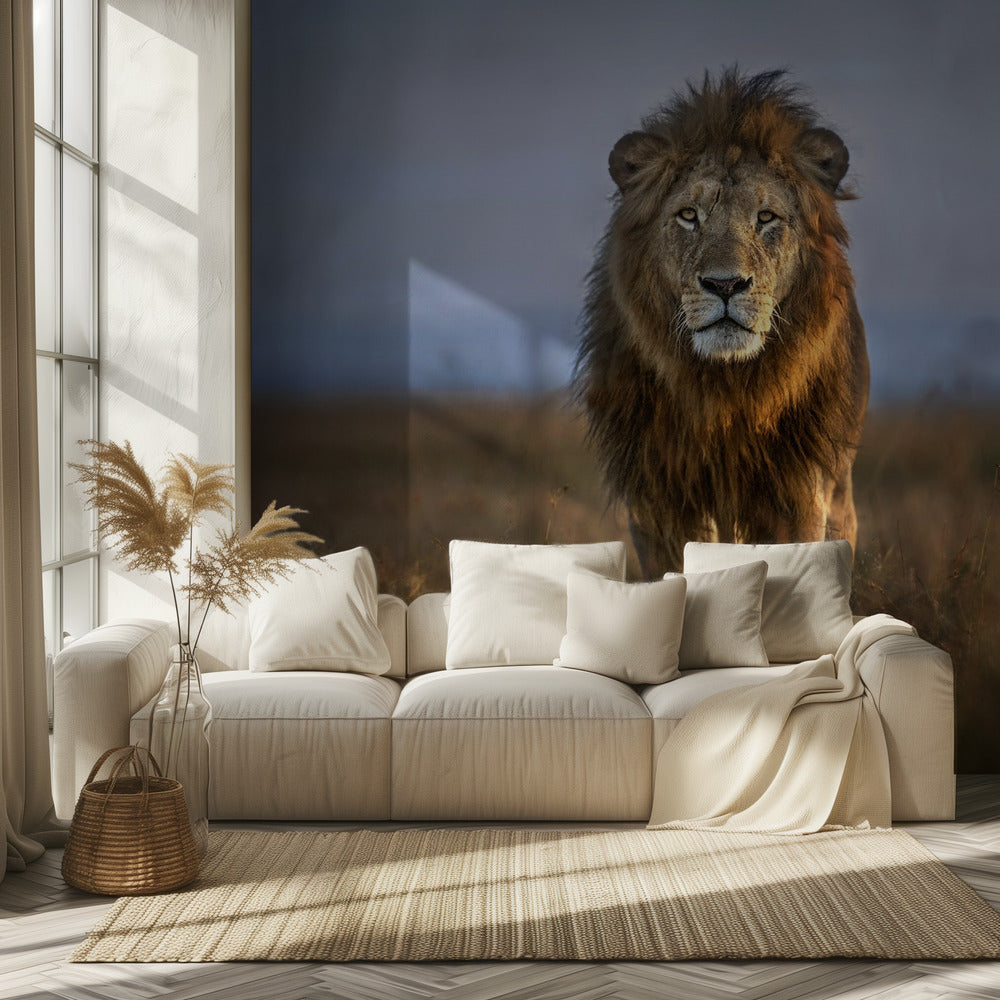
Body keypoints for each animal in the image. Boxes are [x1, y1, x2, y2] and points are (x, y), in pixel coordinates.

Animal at [574, 68, 869, 577]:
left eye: (766, 217)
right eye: (688, 215)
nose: (726, 284)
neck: (725, 390)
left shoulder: (797, 488)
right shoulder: (661, 495)